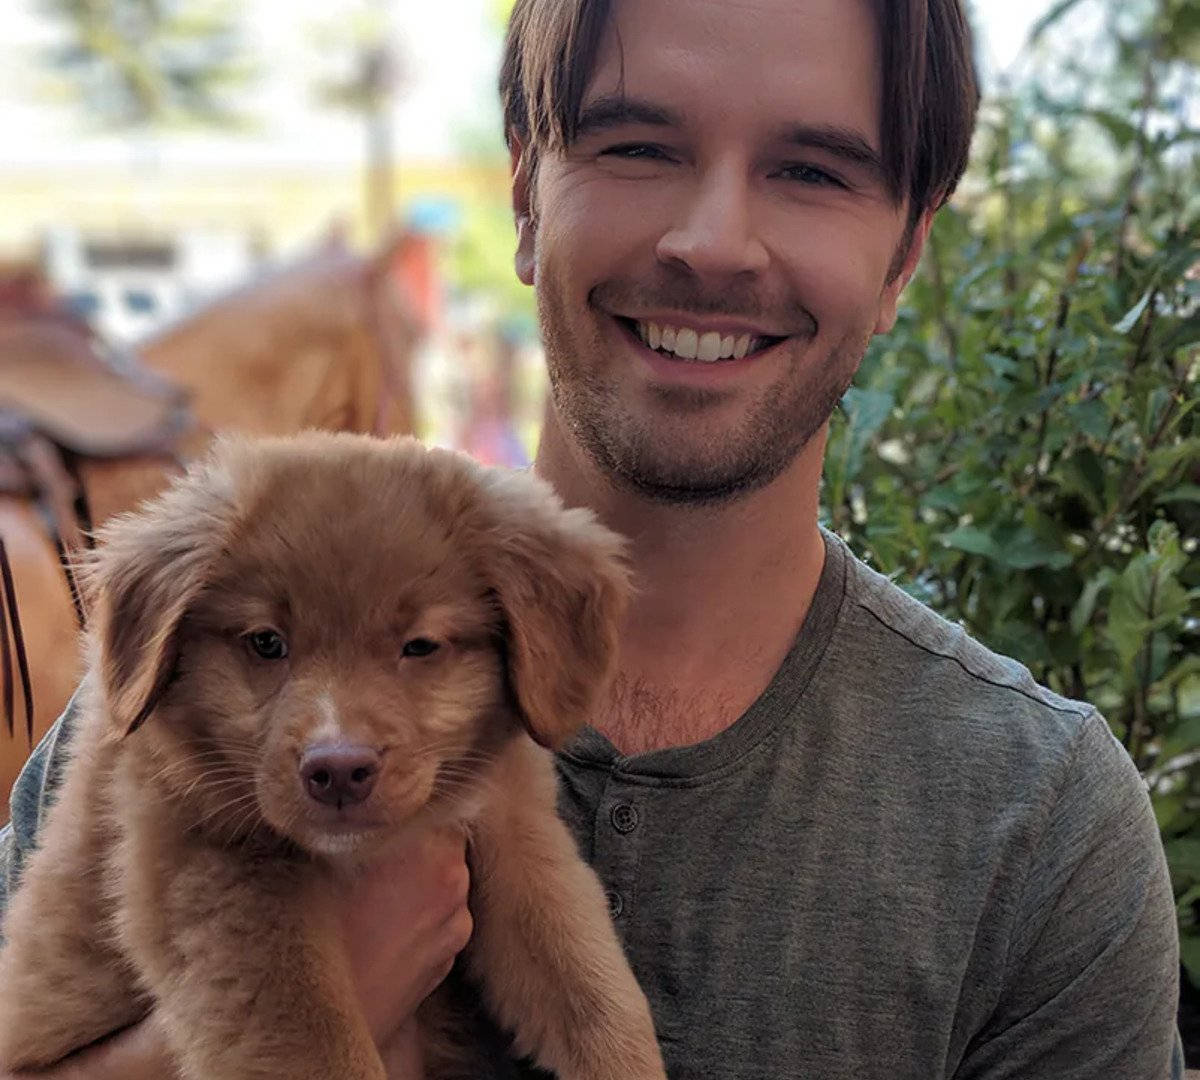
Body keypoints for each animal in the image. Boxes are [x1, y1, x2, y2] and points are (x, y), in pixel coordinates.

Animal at [0, 429, 667, 1080]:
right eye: (266, 643)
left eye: (420, 646)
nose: (338, 769)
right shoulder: (216, 880)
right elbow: (317, 1043)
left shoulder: (515, 829)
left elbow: (588, 983)